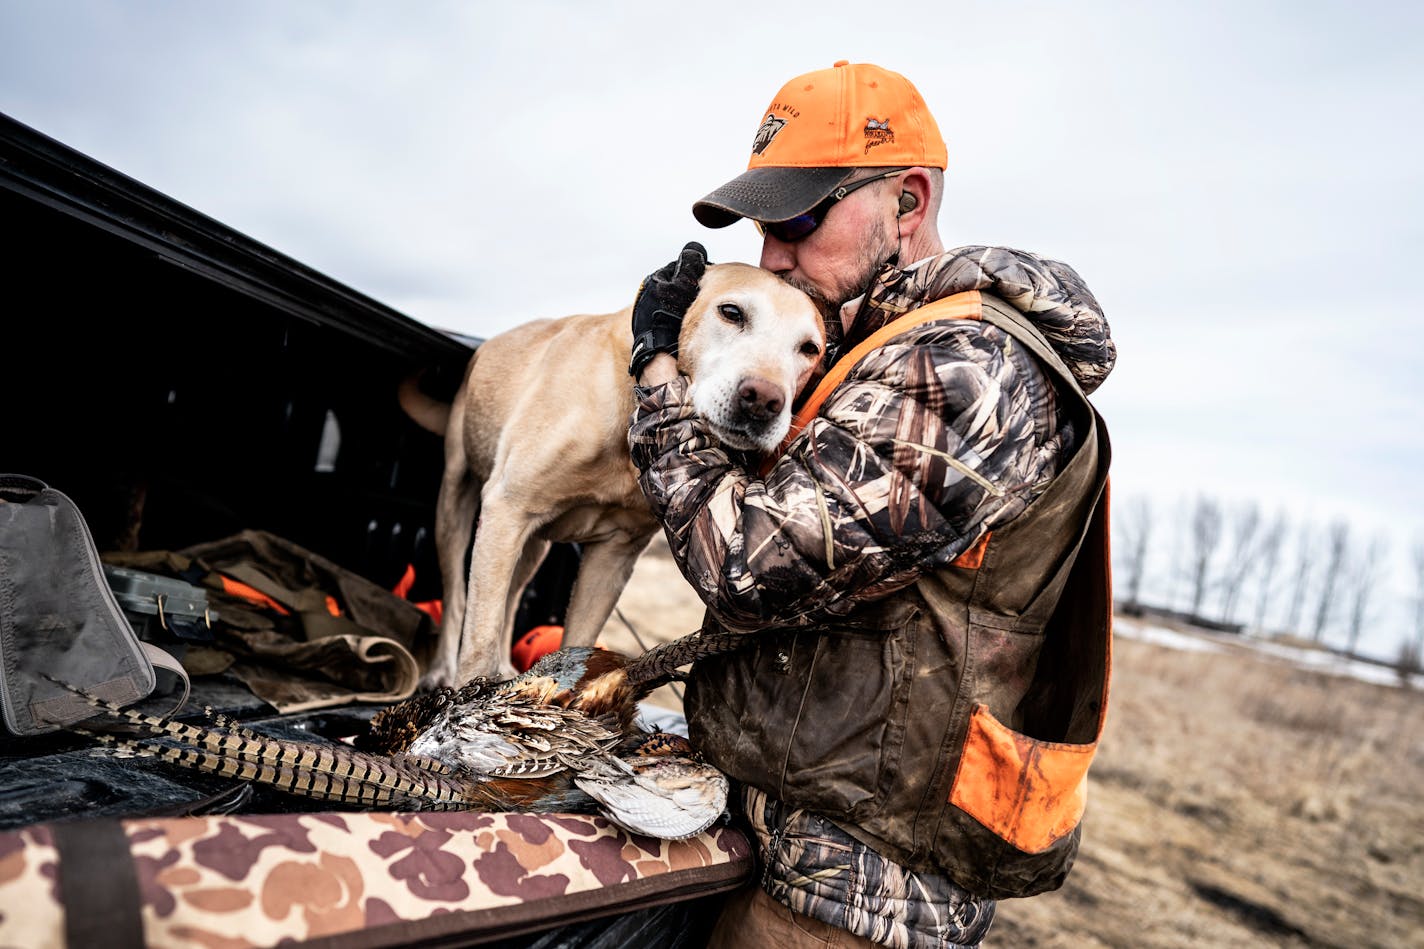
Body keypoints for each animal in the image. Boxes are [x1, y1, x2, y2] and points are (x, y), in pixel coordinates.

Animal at [401, 262, 825, 683]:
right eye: (732, 312)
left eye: (810, 349)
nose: (764, 401)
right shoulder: (507, 510)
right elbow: (478, 647)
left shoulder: (612, 556)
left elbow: (575, 649)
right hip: (457, 506)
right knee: (457, 596)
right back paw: (442, 670)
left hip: (532, 546)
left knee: (512, 598)